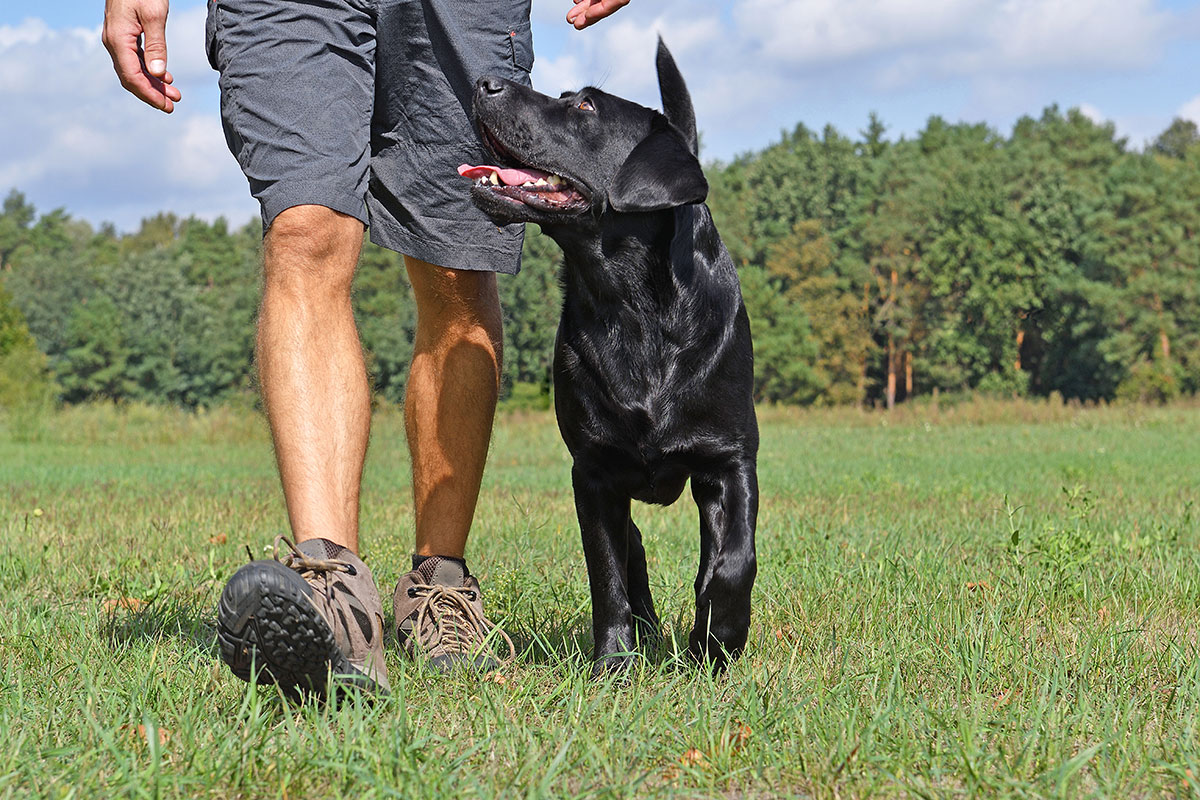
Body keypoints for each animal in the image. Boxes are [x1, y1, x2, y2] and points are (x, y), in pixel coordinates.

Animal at [460, 40, 758, 671]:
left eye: (585, 107)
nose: (484, 82)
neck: (632, 308)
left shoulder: (730, 457)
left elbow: (731, 561)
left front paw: (717, 637)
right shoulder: (593, 473)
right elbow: (608, 574)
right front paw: (615, 663)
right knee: (632, 553)